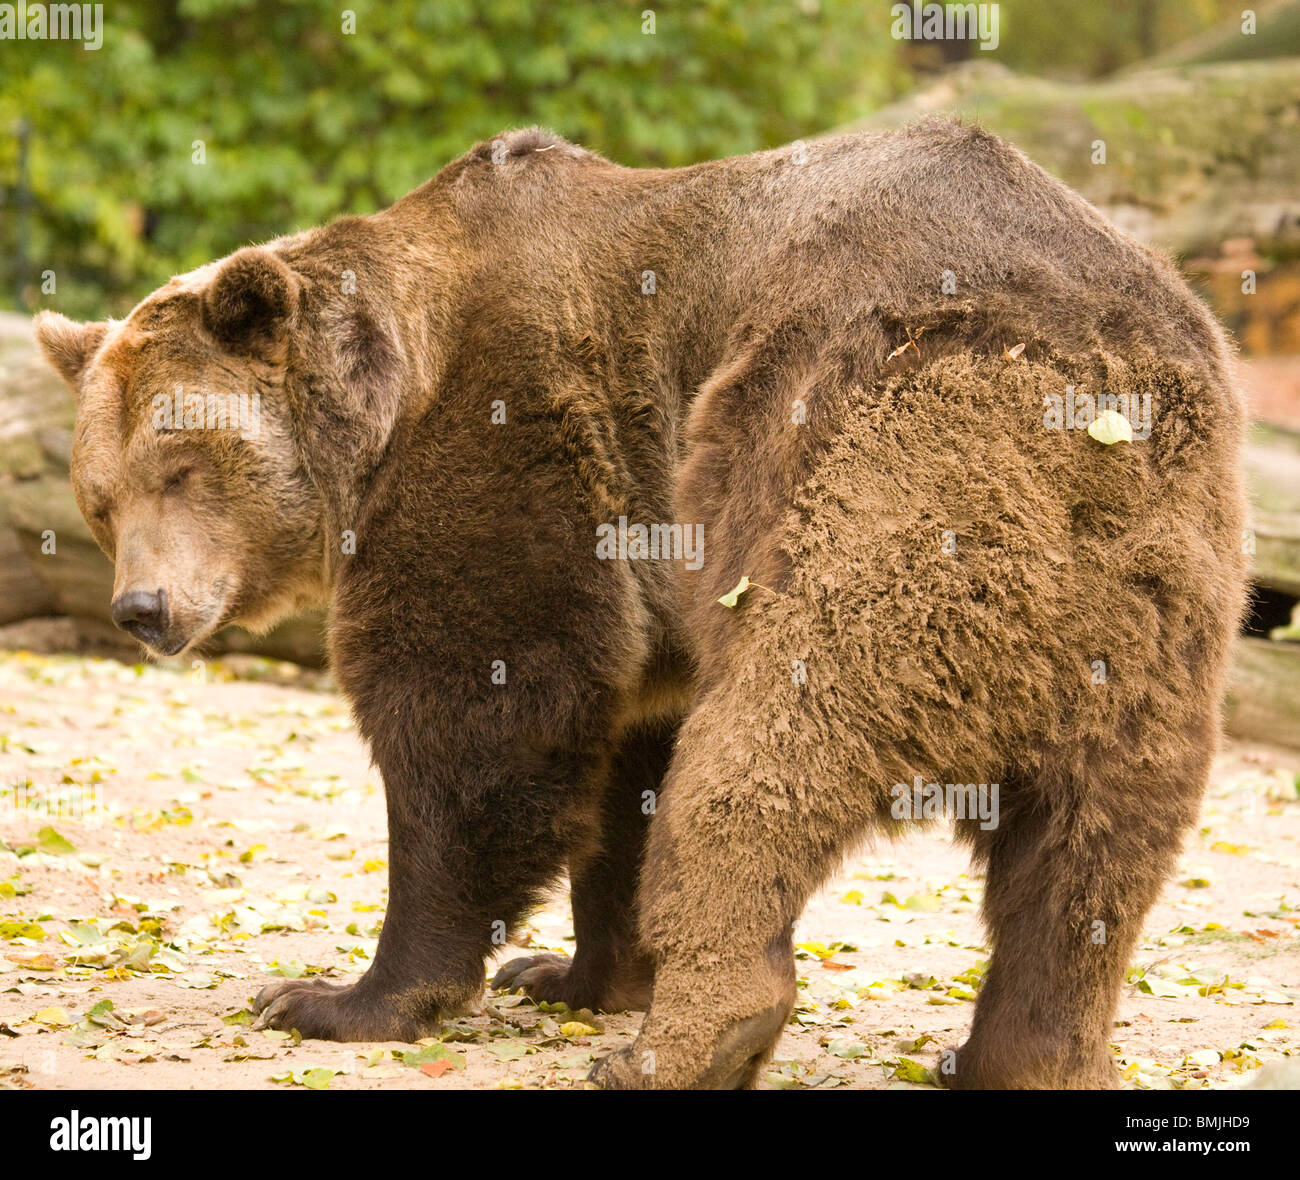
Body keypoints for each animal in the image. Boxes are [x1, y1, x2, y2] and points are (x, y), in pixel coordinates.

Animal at [35, 119, 1248, 1089]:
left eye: (181, 466)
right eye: (99, 498)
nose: (142, 608)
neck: (385, 406)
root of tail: (1095, 389)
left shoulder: (513, 435)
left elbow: (479, 711)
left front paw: (337, 996)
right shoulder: (640, 549)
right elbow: (619, 758)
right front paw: (570, 972)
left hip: (881, 455)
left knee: (771, 742)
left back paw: (688, 1042)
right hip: (1153, 607)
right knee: (1092, 855)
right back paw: (1023, 1054)